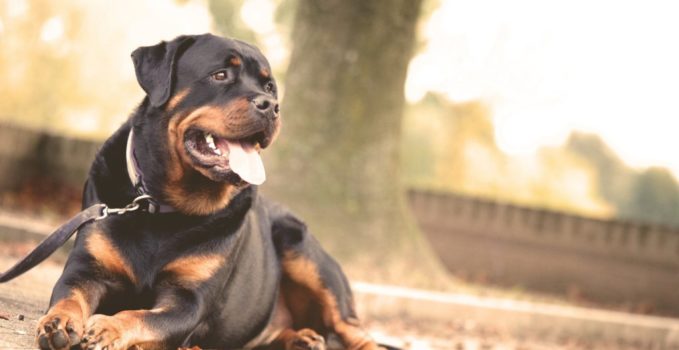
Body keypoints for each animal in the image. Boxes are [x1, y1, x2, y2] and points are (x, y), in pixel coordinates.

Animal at [35, 33, 382, 350]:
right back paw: (301, 339)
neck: (163, 206)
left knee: (354, 331)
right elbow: (69, 294)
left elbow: (143, 317)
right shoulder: (86, 268)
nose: (271, 105)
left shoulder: (189, 301)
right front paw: (59, 322)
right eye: (220, 75)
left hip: (305, 254)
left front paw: (109, 328)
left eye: (269, 87)